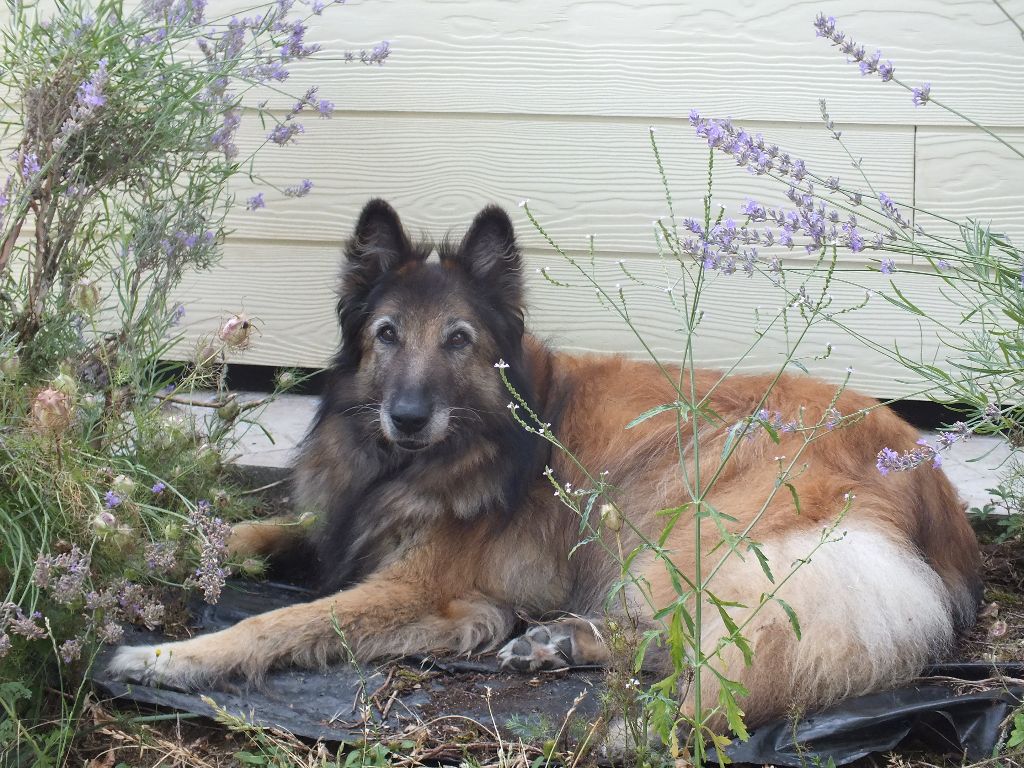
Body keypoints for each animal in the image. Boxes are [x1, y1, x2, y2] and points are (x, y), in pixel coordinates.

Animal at [105, 198, 983, 733]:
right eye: (386, 334)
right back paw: (558, 643)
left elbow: (278, 620)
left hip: (679, 502)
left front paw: (168, 657)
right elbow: (242, 531)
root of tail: (930, 479)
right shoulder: (342, 527)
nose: (408, 416)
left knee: (703, 638)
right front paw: (150, 544)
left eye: (458, 340)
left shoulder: (418, 587)